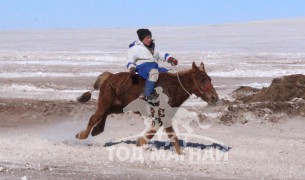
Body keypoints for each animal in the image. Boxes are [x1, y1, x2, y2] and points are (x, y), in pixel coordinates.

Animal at [76, 61, 218, 154]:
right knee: (94, 117)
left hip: (118, 107)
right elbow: (170, 134)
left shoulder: (162, 117)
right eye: (201, 79)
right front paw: (180, 153)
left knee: (104, 114)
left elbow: (157, 131)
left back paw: (97, 130)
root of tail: (109, 76)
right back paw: (82, 134)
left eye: (210, 79)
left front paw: (140, 141)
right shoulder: (164, 116)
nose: (214, 97)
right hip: (105, 103)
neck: (174, 87)